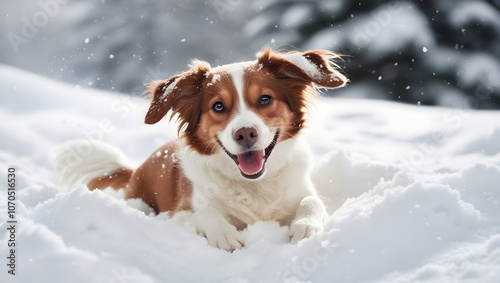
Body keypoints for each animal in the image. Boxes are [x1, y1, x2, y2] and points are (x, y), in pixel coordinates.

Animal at [52, 47, 346, 252]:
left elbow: (312, 201)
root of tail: (135, 169)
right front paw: (225, 235)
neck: (253, 185)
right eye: (218, 106)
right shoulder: (179, 214)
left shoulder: (300, 192)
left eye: (265, 99)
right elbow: (206, 212)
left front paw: (305, 227)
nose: (245, 133)